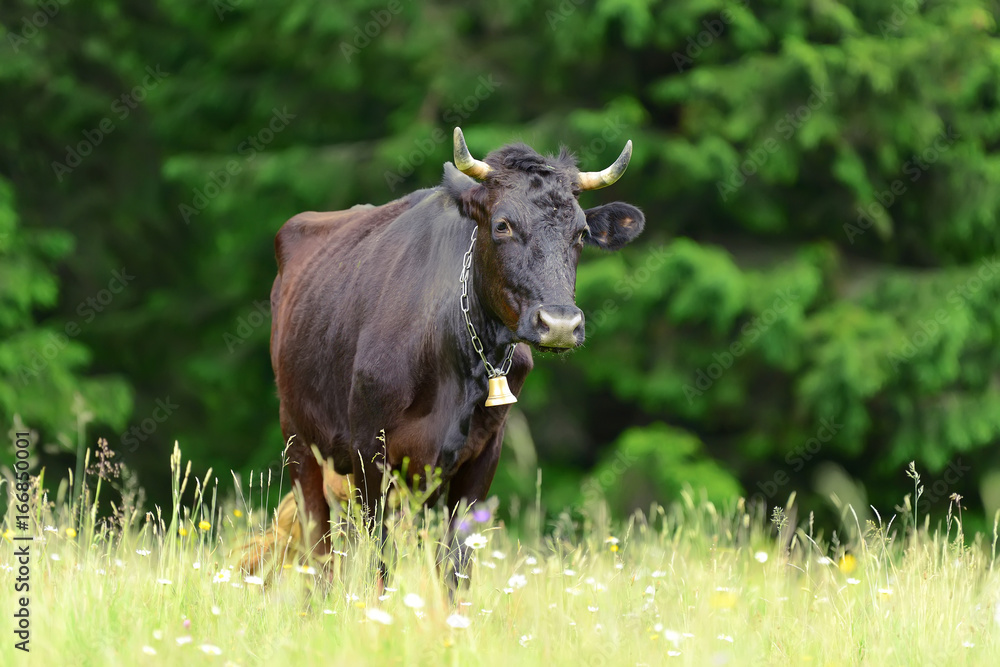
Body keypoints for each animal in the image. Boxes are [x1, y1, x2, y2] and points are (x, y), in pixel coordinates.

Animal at [262, 129, 644, 584]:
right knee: (319, 553)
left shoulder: (478, 457)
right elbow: (378, 563)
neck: (455, 363)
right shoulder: (369, 451)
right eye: (502, 225)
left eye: (582, 232)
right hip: (299, 439)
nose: (561, 323)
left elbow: (457, 565)